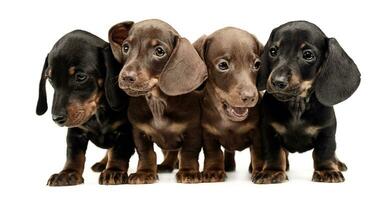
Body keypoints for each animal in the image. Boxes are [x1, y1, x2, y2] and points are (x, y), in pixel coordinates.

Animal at [36, 29, 135, 186]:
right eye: (50, 79)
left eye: (81, 76)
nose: (57, 118)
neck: (99, 113)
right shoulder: (76, 132)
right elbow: (74, 155)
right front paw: (68, 173)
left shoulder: (126, 131)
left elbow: (119, 152)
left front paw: (114, 171)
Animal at [106, 19, 208, 184]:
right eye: (126, 47)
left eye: (159, 51)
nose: (126, 77)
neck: (157, 103)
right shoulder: (139, 131)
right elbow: (146, 154)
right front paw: (144, 173)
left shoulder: (192, 131)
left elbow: (188, 152)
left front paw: (189, 172)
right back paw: (166, 165)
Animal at [193, 27, 264, 182]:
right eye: (223, 65)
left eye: (257, 64)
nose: (250, 97)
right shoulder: (208, 133)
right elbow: (213, 153)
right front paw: (213, 171)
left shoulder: (258, 132)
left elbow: (259, 152)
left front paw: (262, 171)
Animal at [254, 21, 360, 184]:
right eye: (273, 51)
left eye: (308, 55)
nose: (277, 82)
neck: (297, 105)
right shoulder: (269, 129)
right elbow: (274, 153)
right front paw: (272, 171)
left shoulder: (327, 130)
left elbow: (325, 151)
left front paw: (327, 170)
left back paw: (337, 163)